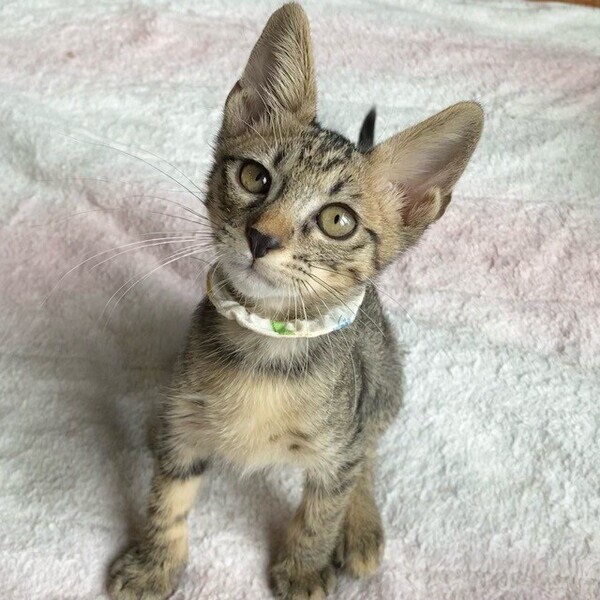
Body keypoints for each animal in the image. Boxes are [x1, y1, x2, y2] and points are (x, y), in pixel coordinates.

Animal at [108, 3, 483, 599]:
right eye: (253, 176)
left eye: (337, 221)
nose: (261, 238)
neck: (266, 348)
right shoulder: (185, 432)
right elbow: (167, 498)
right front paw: (154, 563)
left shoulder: (338, 447)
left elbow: (322, 508)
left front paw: (304, 566)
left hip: (382, 383)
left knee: (366, 456)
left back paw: (362, 526)